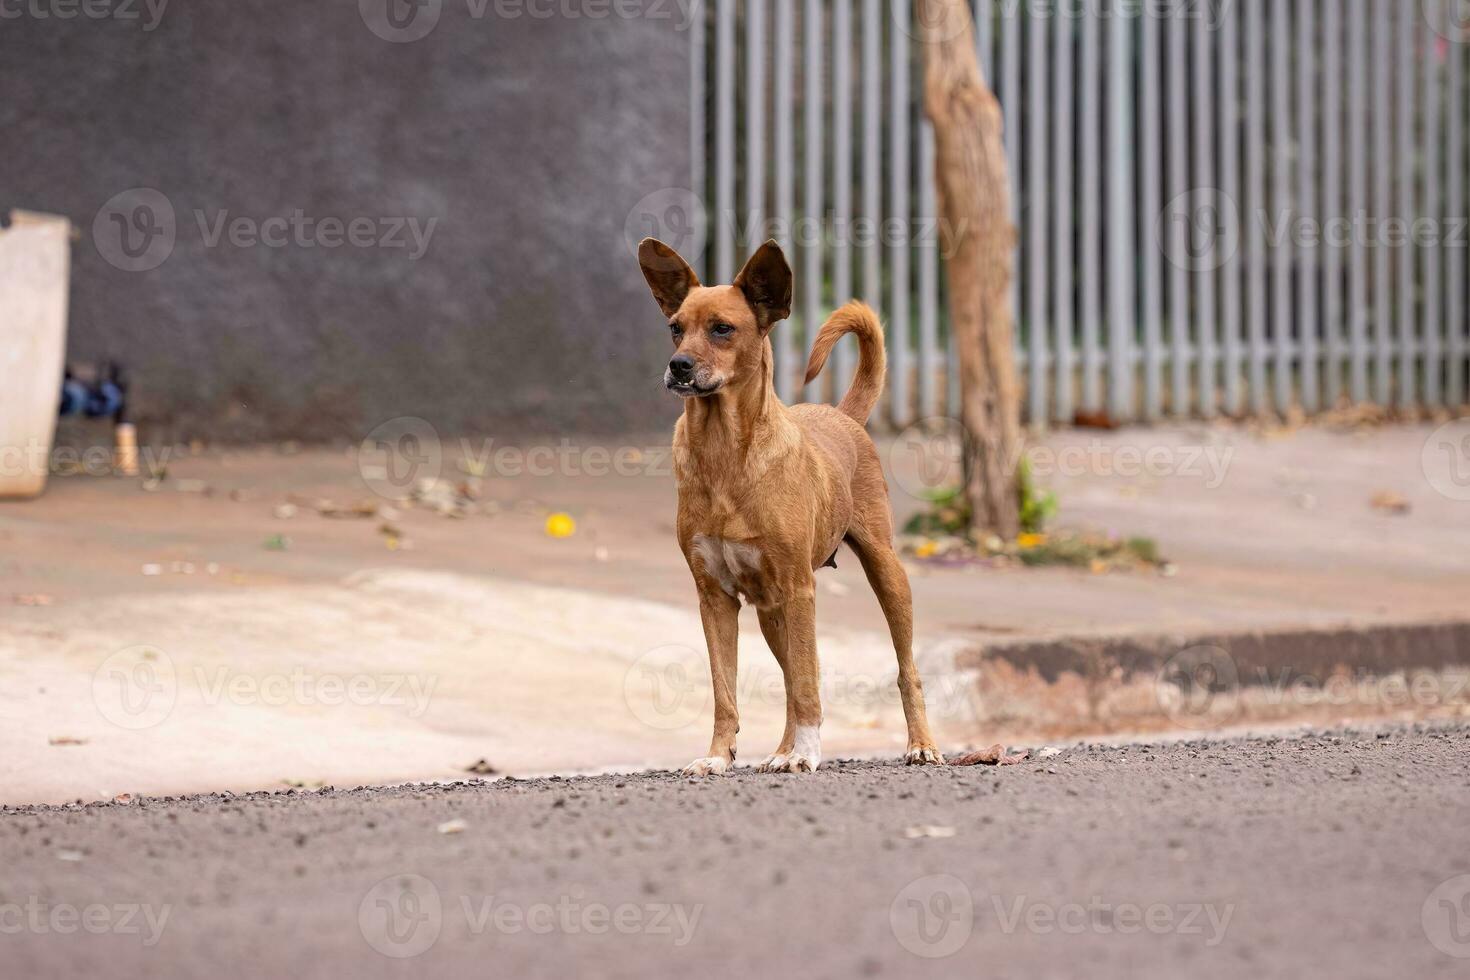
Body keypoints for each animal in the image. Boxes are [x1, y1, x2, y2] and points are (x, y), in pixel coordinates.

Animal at [640, 235, 940, 775]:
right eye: (675, 328)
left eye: (722, 329)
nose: (678, 366)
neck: (724, 454)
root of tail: (843, 416)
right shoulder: (715, 597)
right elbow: (726, 691)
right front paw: (718, 757)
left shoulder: (800, 590)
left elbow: (805, 682)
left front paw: (807, 753)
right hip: (770, 610)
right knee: (789, 680)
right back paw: (781, 750)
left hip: (886, 574)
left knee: (902, 669)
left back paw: (920, 744)